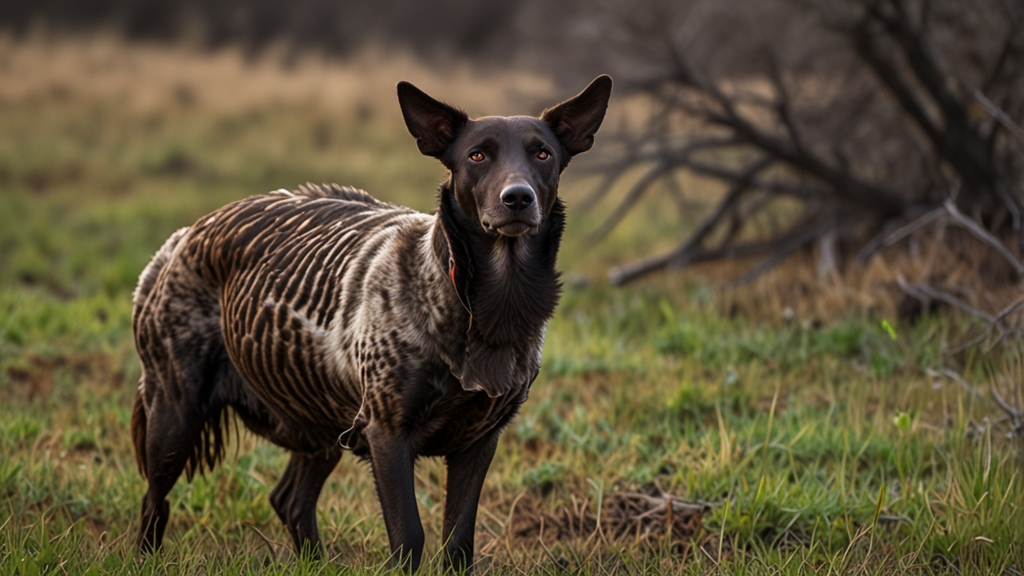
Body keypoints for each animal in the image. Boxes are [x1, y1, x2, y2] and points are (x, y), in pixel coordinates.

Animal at [126, 73, 606, 565]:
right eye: (477, 155)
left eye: (543, 154)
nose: (518, 199)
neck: (485, 305)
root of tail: (182, 236)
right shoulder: (387, 435)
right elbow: (409, 538)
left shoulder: (478, 443)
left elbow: (458, 544)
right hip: (174, 418)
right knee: (154, 501)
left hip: (318, 423)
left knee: (290, 500)